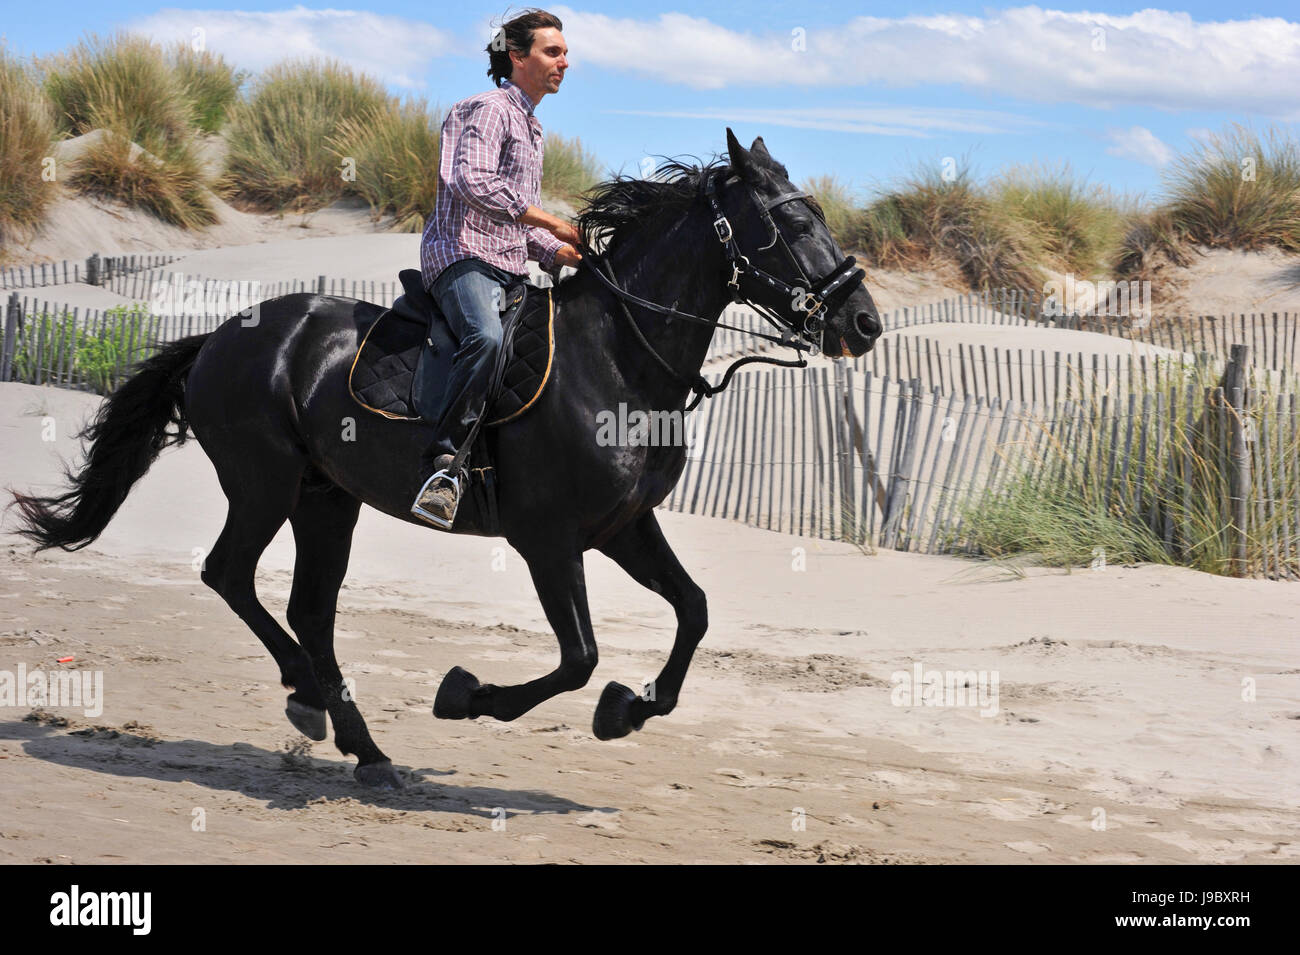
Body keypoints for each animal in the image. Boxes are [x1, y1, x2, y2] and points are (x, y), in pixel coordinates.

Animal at [10, 129, 881, 789]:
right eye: (790, 220)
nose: (864, 322)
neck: (617, 358)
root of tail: (220, 337)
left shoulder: (624, 527)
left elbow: (693, 611)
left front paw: (626, 709)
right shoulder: (549, 540)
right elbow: (578, 657)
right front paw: (469, 696)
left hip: (326, 498)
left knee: (309, 610)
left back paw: (361, 744)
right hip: (264, 485)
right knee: (231, 576)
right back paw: (310, 699)